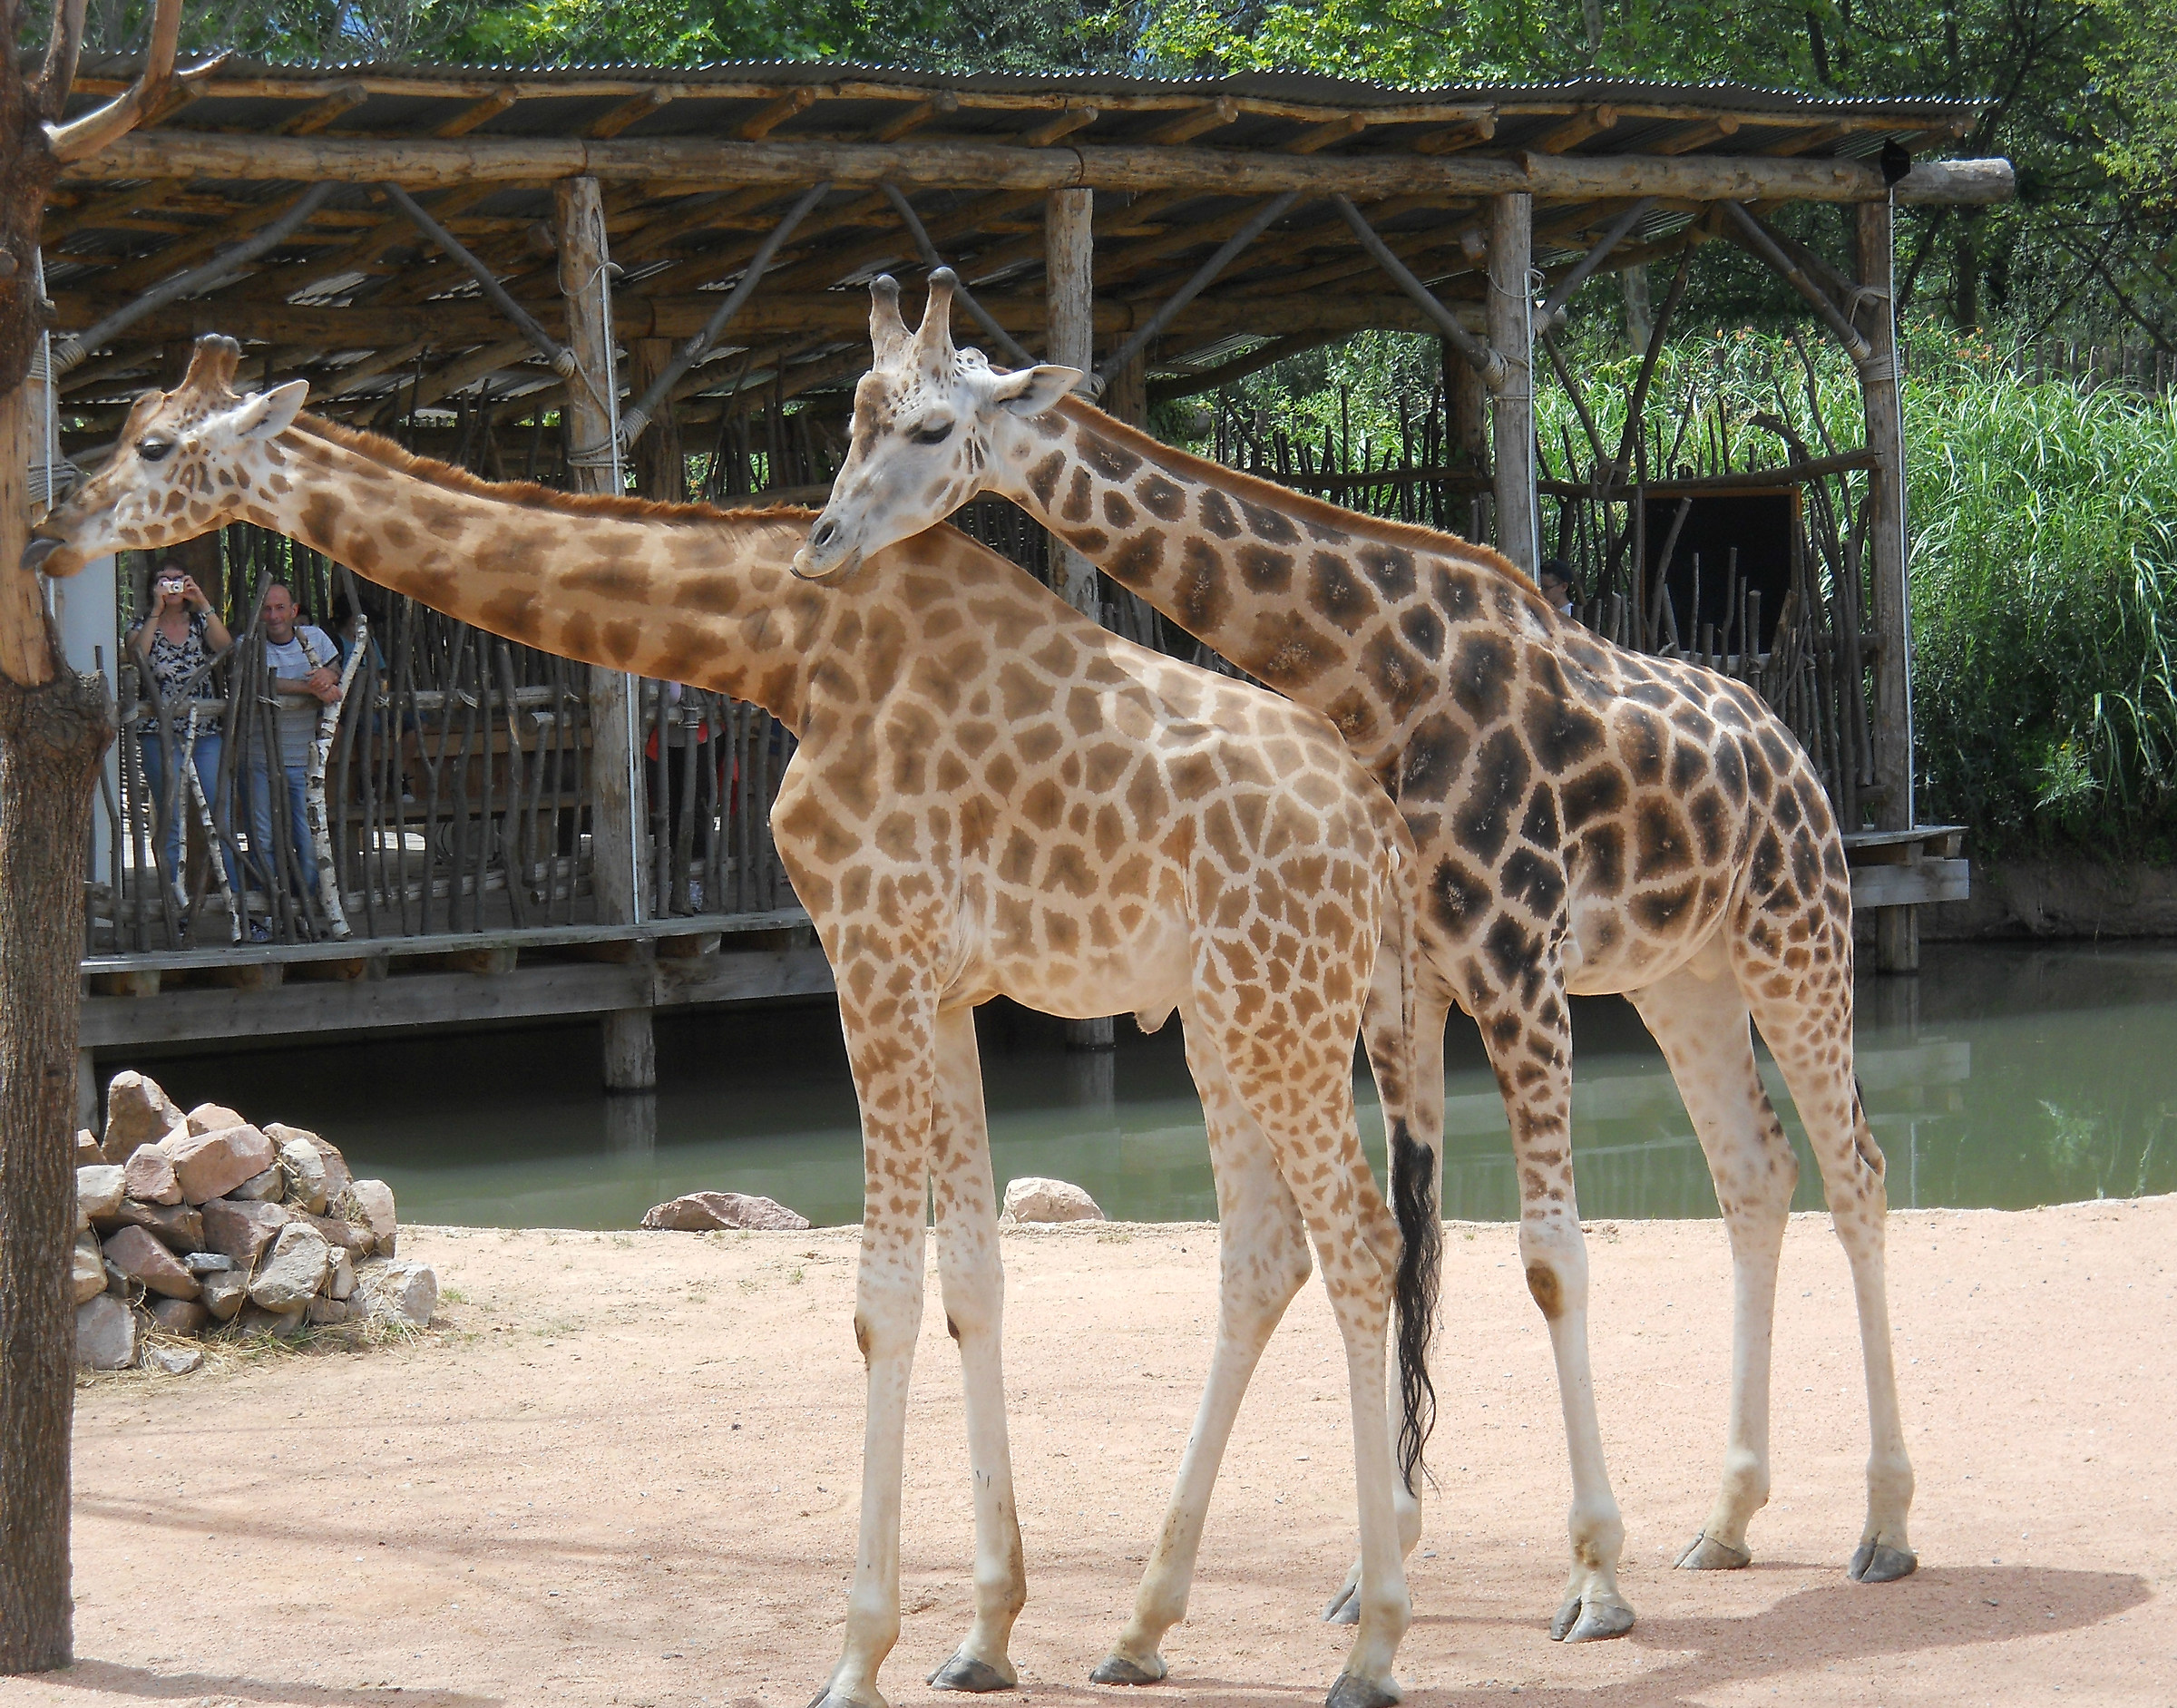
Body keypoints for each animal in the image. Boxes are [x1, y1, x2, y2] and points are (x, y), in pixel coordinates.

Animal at [30, 333, 1441, 1708]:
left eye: (153, 445)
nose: (51, 532)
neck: (784, 644)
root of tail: (1377, 830)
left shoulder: (870, 949)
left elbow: (883, 1296)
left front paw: (856, 1653)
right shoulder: (941, 986)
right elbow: (974, 1281)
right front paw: (984, 1629)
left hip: (1285, 1002)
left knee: (1365, 1242)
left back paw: (1372, 1646)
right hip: (1227, 1013)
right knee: (1266, 1252)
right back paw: (1143, 1625)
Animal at [796, 273, 1921, 1641]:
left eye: (926, 429)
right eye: (852, 418)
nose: (820, 543)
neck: (1380, 682)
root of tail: (1797, 750)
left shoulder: (1517, 968)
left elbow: (1547, 1257)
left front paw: (1592, 1577)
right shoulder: (1408, 989)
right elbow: (1414, 1234)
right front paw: (1382, 1555)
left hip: (1800, 940)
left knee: (1857, 1169)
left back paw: (1884, 1523)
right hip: (1682, 979)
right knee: (1755, 1175)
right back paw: (1727, 1518)